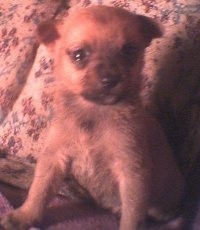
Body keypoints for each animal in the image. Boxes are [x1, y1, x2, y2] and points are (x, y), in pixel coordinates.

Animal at [0, 5, 185, 230]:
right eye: (79, 55)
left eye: (129, 50)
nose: (110, 79)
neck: (93, 113)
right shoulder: (54, 158)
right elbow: (39, 190)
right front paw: (25, 215)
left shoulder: (132, 171)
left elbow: (132, 214)